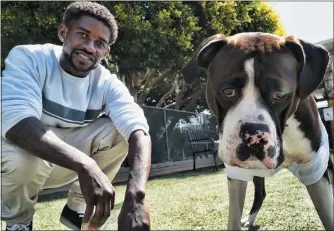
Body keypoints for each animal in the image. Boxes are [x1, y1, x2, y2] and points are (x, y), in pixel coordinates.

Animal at [183, 33, 334, 231]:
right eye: (228, 91)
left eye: (280, 94)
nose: (254, 133)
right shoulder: (236, 173)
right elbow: (233, 218)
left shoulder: (314, 170)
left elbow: (328, 214)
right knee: (260, 193)